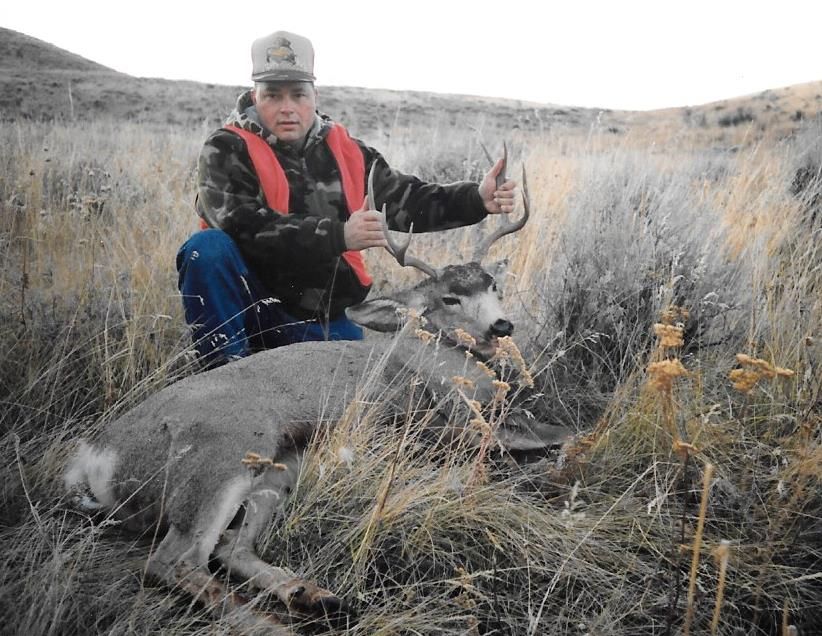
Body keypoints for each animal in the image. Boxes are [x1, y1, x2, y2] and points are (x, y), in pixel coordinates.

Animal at [63, 165, 570, 632]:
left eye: (492, 284)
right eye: (448, 299)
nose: (500, 326)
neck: (438, 364)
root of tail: (92, 457)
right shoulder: (452, 428)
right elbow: (559, 433)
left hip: (275, 477)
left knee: (229, 548)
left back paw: (314, 595)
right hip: (225, 455)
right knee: (173, 560)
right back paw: (273, 623)